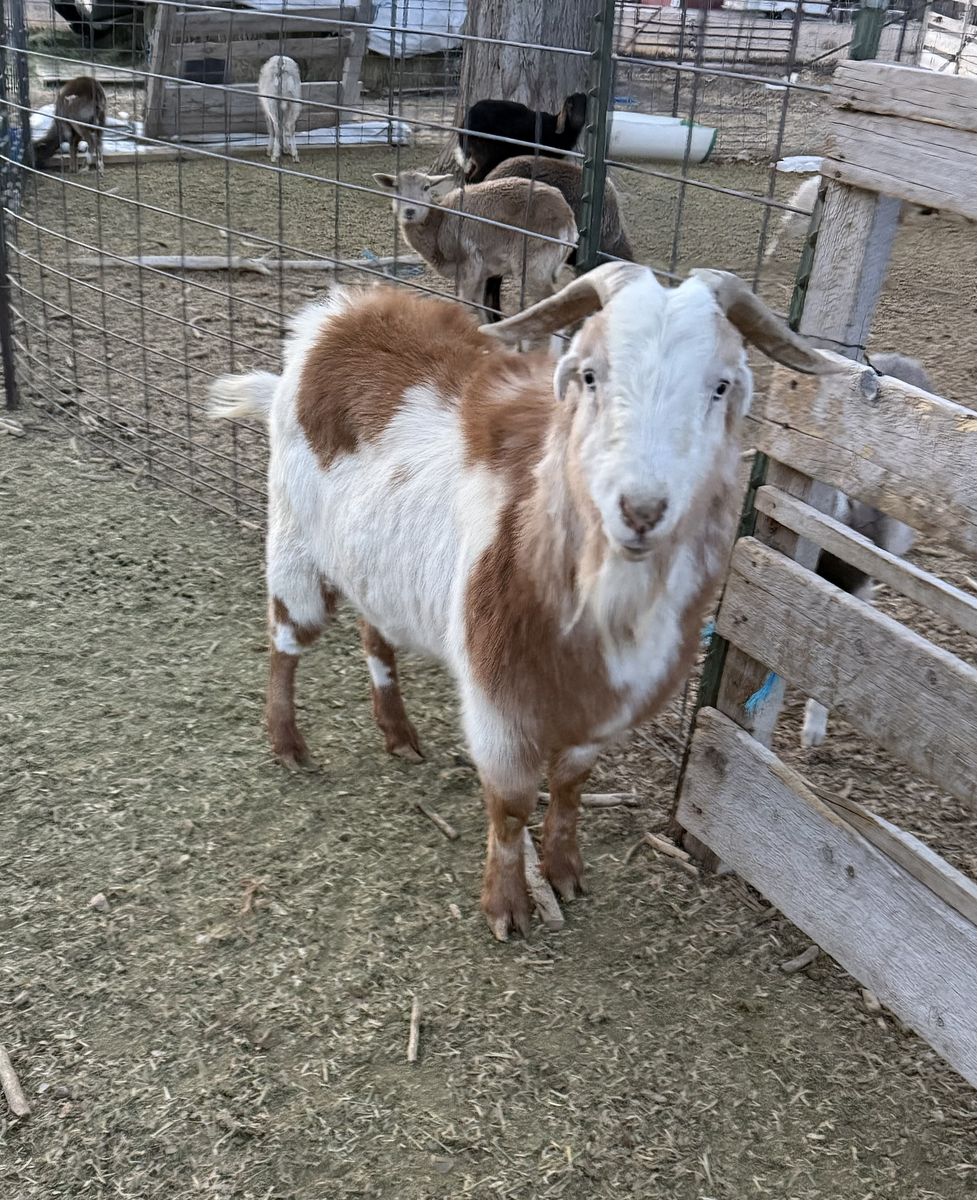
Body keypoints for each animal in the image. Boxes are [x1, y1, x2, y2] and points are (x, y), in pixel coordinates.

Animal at [208, 262, 833, 940]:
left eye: (720, 386)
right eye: (590, 374)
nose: (641, 511)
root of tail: (332, 317)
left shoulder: (600, 709)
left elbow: (570, 784)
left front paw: (565, 871)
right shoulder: (497, 701)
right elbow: (509, 805)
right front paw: (506, 906)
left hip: (377, 563)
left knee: (374, 634)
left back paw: (397, 733)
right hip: (296, 541)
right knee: (285, 639)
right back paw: (287, 743)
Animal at [372, 169, 577, 319]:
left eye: (426, 187)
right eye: (396, 188)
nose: (409, 211)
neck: (438, 226)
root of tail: (567, 217)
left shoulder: (469, 265)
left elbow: (463, 304)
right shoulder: (482, 272)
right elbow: (479, 306)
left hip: (533, 264)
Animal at [457, 93, 588, 184]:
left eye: (584, 104)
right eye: (570, 105)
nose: (577, 120)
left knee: (468, 176)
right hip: (488, 155)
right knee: (476, 178)